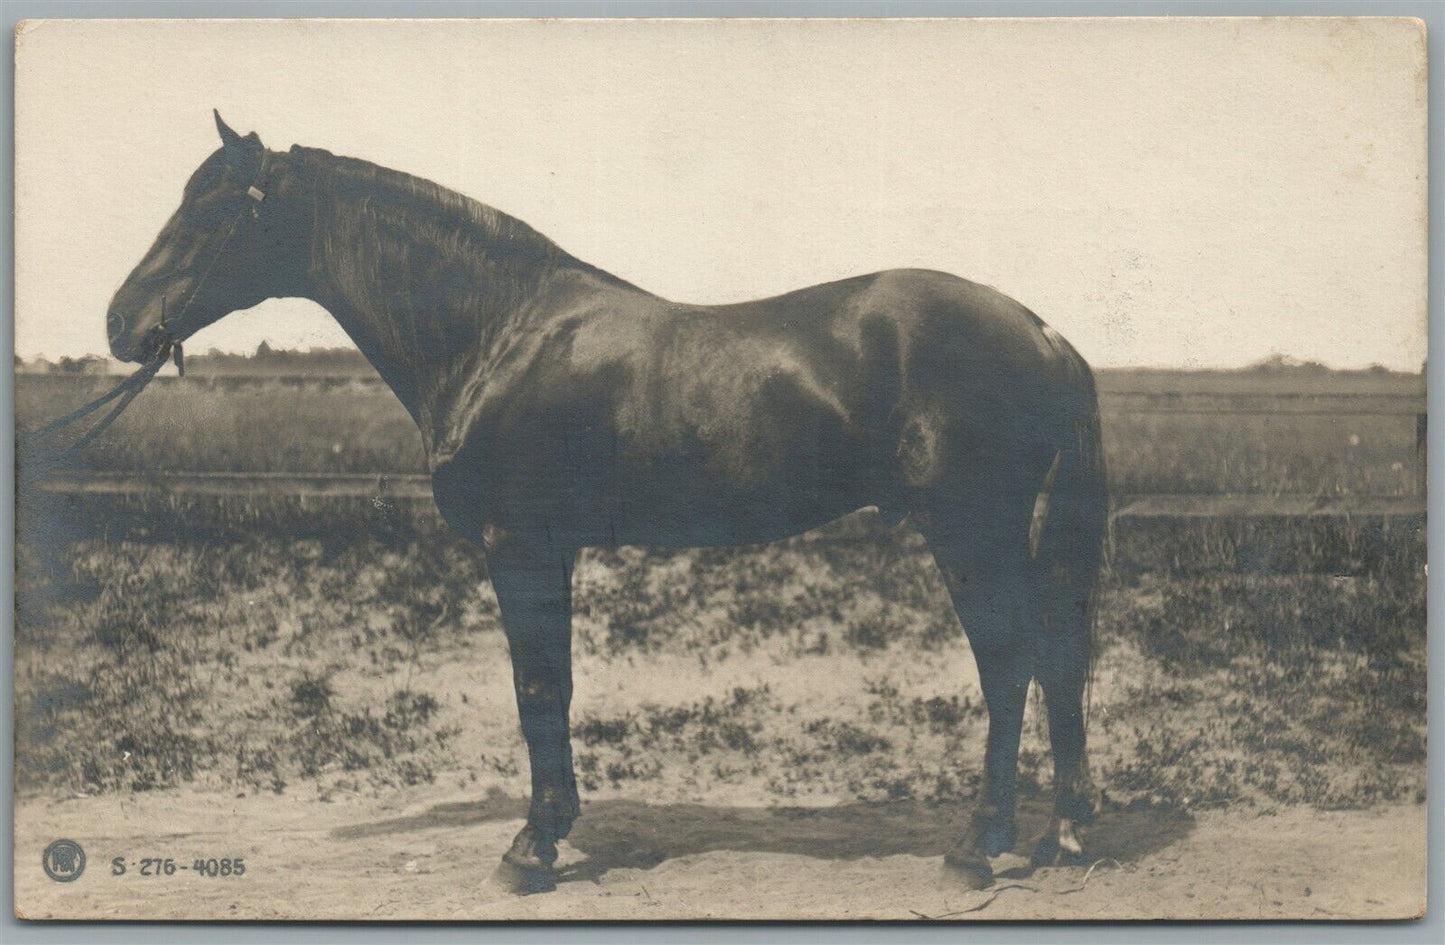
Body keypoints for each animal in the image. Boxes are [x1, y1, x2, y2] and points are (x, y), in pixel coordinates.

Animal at [106, 114, 1109, 901]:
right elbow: (555, 686)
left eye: (209, 213)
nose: (121, 323)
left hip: (970, 532)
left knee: (1009, 665)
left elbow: (535, 690)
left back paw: (976, 849)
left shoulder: (517, 547)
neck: (497, 333)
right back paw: (1062, 835)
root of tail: (1042, 330)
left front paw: (529, 848)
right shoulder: (550, 550)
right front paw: (554, 827)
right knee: (1057, 659)